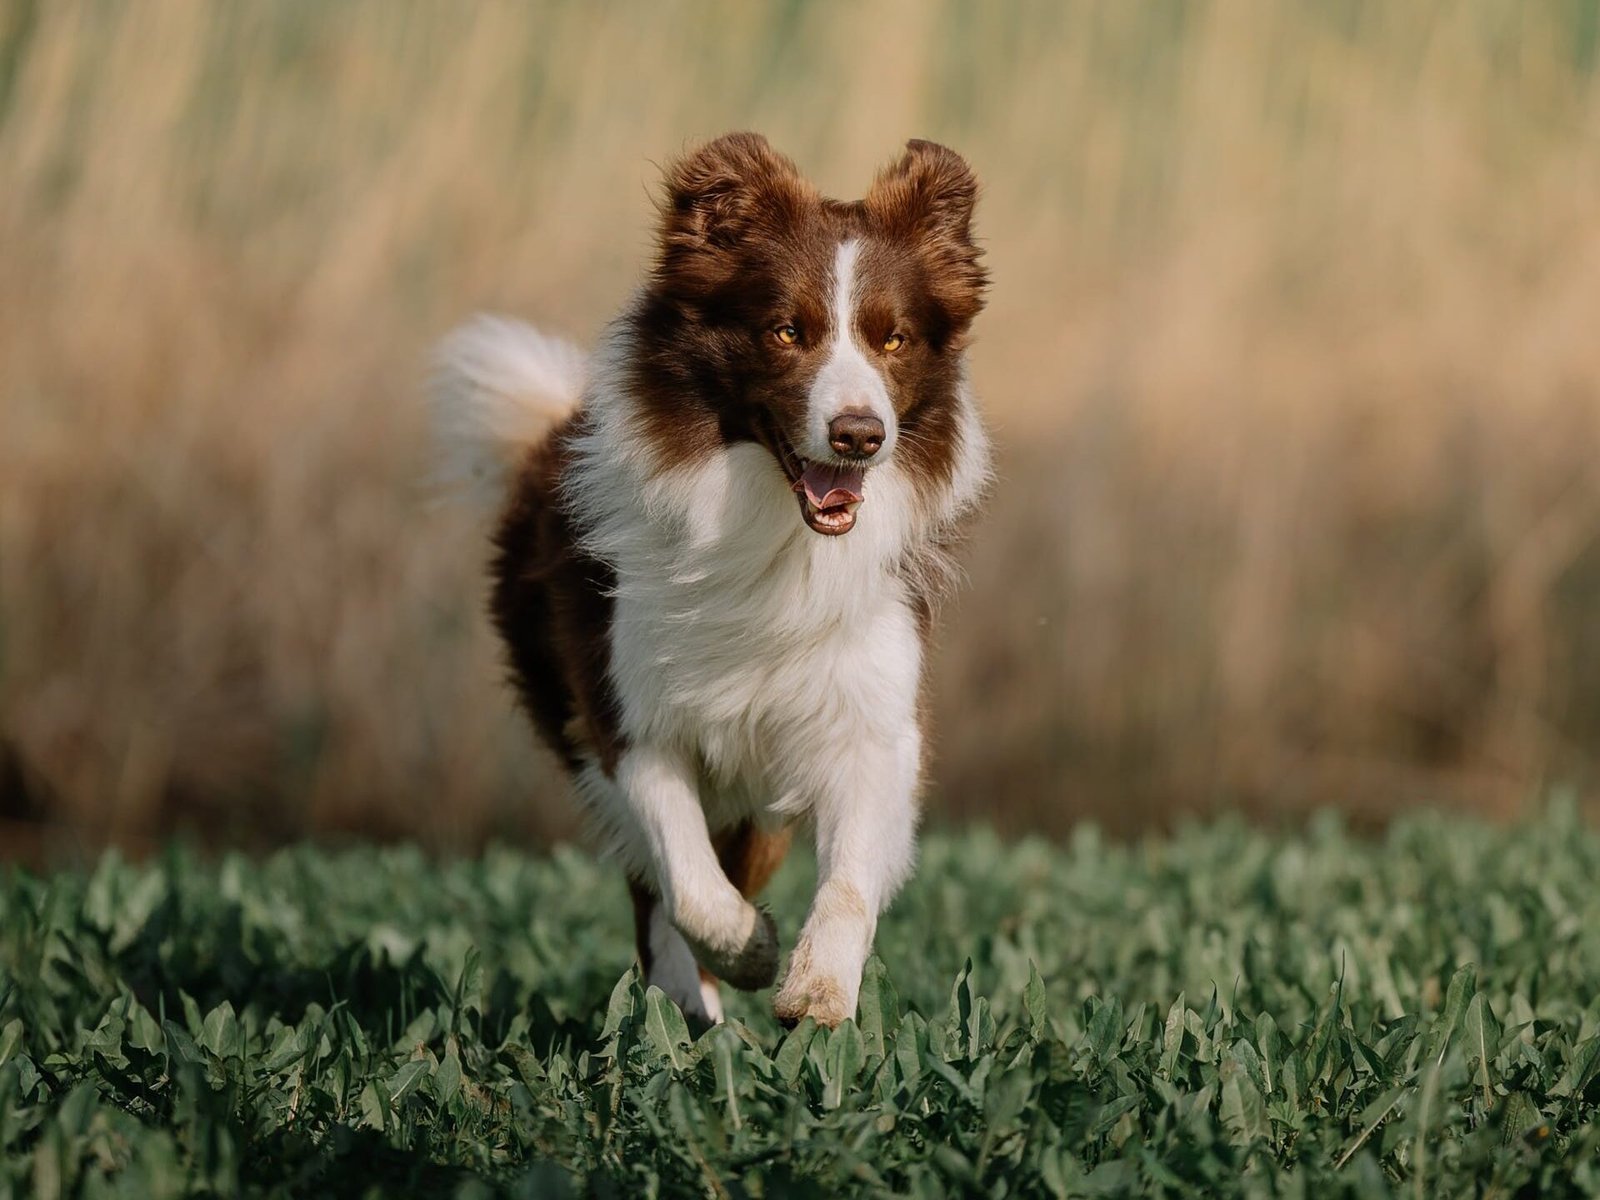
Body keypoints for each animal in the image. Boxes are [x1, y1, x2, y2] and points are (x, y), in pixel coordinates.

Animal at [432, 133, 992, 1036]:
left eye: (893, 340)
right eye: (787, 331)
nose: (860, 435)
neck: (775, 531)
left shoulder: (870, 708)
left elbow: (850, 874)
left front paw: (819, 989)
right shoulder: (628, 709)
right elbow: (689, 882)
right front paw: (747, 952)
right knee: (653, 883)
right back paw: (684, 1000)